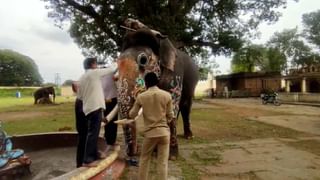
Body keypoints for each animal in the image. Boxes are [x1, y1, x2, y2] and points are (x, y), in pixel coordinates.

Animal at [116, 21, 199, 158]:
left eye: (143, 60)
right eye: (116, 63)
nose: (135, 151)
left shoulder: (175, 75)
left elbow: (171, 106)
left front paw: (171, 156)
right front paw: (155, 151)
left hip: (192, 81)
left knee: (185, 105)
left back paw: (189, 137)